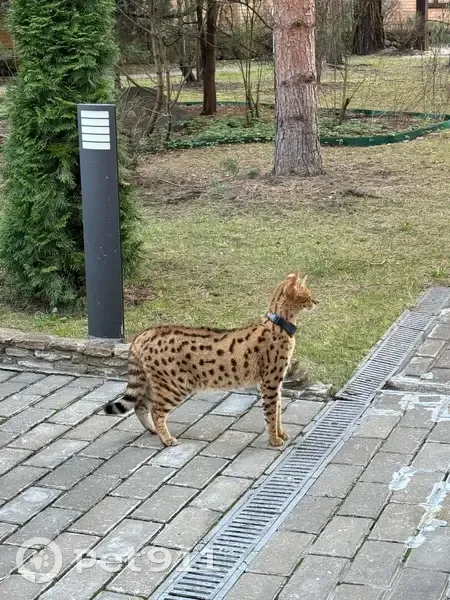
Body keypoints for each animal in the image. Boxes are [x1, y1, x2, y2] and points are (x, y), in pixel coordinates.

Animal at [105, 272, 317, 447]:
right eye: (308, 294)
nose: (316, 301)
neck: (279, 324)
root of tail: (144, 333)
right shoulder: (270, 382)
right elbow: (271, 413)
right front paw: (274, 440)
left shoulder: (276, 382)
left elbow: (279, 410)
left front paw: (281, 433)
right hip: (175, 384)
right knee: (156, 410)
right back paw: (166, 439)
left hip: (155, 381)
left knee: (140, 405)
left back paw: (153, 431)